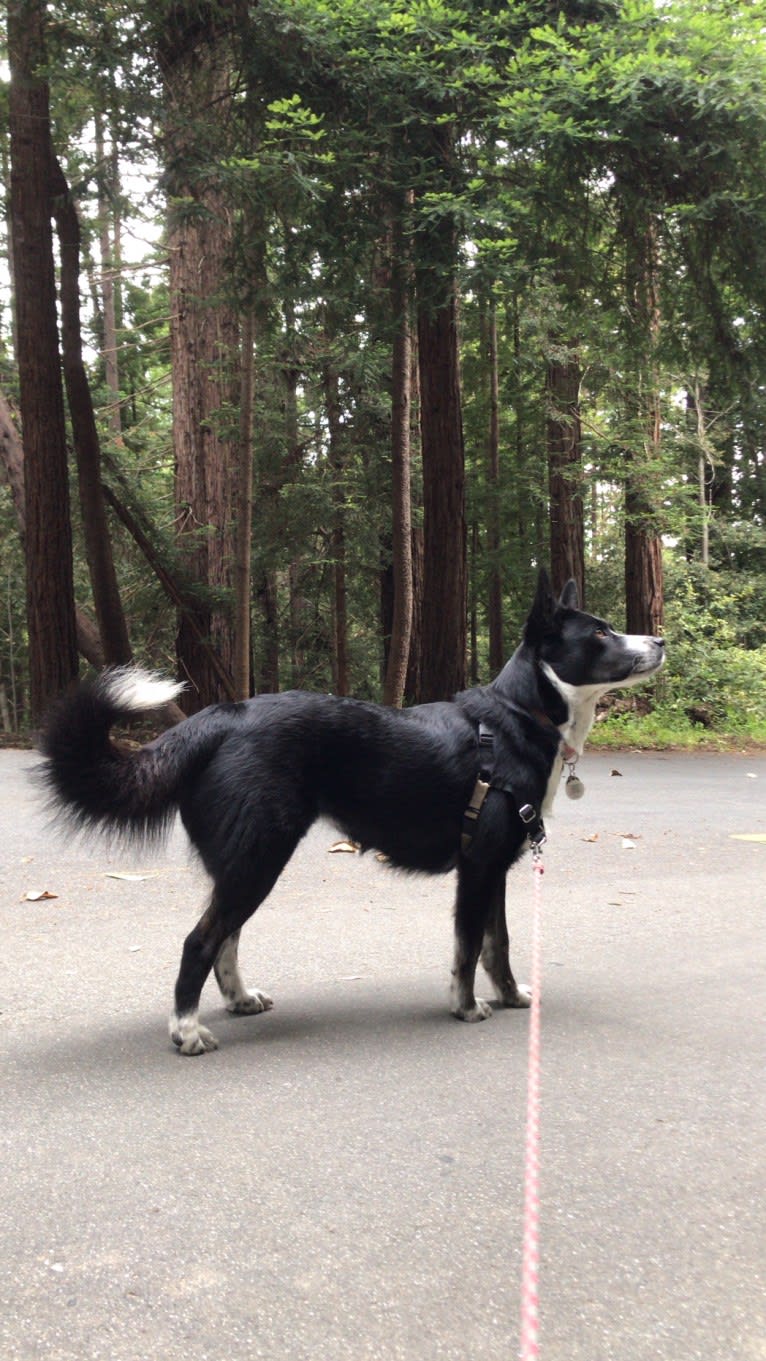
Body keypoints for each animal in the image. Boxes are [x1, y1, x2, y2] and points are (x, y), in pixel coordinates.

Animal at [42, 568, 666, 1056]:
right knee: (201, 941)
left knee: (225, 939)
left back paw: (239, 1000)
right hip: (257, 860)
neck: (519, 714)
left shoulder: (494, 870)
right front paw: (465, 1007)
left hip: (248, 863)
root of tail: (220, 717)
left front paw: (511, 996)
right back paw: (187, 1030)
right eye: (601, 631)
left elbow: (499, 944)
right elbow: (468, 948)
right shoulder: (478, 868)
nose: (660, 640)